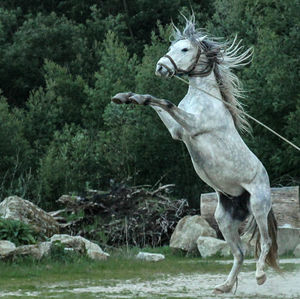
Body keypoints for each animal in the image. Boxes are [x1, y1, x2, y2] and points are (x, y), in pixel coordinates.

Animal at [112, 17, 278, 296]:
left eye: (185, 49)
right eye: (172, 47)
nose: (161, 68)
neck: (202, 98)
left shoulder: (192, 126)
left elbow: (165, 102)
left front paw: (130, 97)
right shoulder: (177, 132)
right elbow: (155, 102)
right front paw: (126, 97)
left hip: (258, 205)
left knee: (264, 243)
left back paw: (260, 276)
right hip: (224, 219)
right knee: (239, 253)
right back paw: (225, 286)